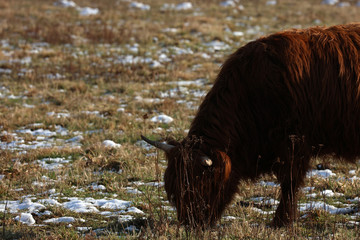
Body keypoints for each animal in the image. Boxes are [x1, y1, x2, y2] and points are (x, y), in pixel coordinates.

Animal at [141, 23, 360, 228]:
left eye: (198, 184)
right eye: (174, 188)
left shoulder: (294, 144)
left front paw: (280, 221)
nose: (190, 223)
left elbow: (289, 183)